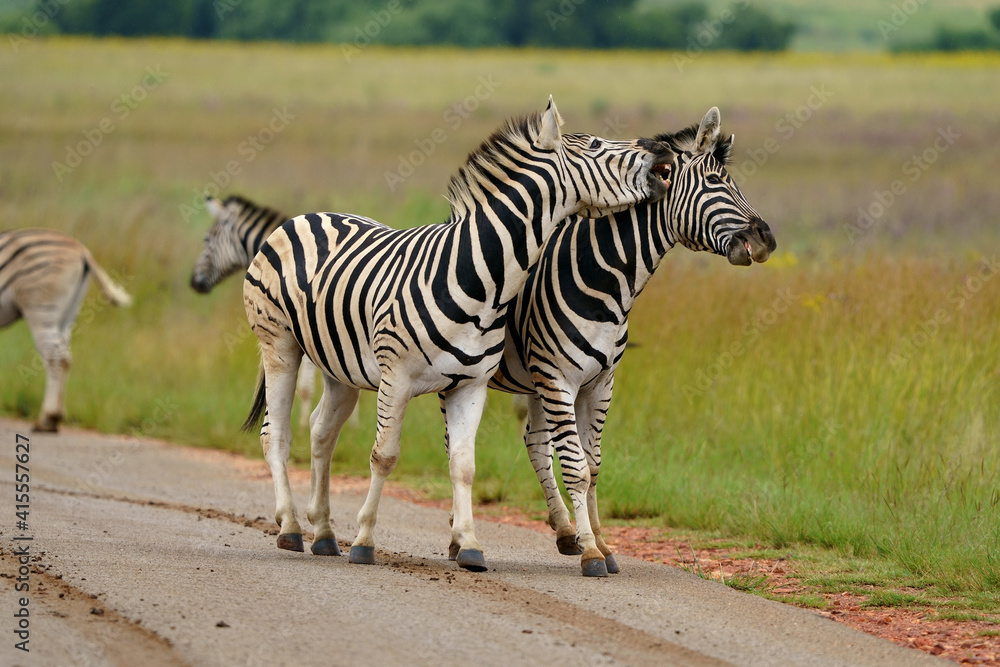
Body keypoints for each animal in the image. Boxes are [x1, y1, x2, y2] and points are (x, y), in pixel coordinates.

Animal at [0, 229, 132, 432]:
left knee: (56, 356)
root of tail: (82, 250)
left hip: (40, 308)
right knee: (65, 356)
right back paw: (55, 418)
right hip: (66, 314)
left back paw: (48, 418)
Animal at [241, 97, 675, 571]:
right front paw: (365, 541)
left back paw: (322, 532)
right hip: (279, 345)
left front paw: (468, 544)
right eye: (596, 145)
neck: (478, 277)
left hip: (339, 366)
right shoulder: (396, 378)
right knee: (276, 435)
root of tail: (308, 215)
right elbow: (384, 455)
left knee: (322, 433)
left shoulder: (471, 385)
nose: (662, 151)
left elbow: (463, 465)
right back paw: (290, 528)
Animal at [488, 107, 777, 576]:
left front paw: (601, 544)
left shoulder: (600, 382)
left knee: (534, 441)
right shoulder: (560, 378)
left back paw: (564, 530)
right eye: (715, 183)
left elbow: (593, 465)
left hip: (535, 381)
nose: (767, 240)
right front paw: (590, 551)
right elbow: (576, 466)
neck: (603, 280)